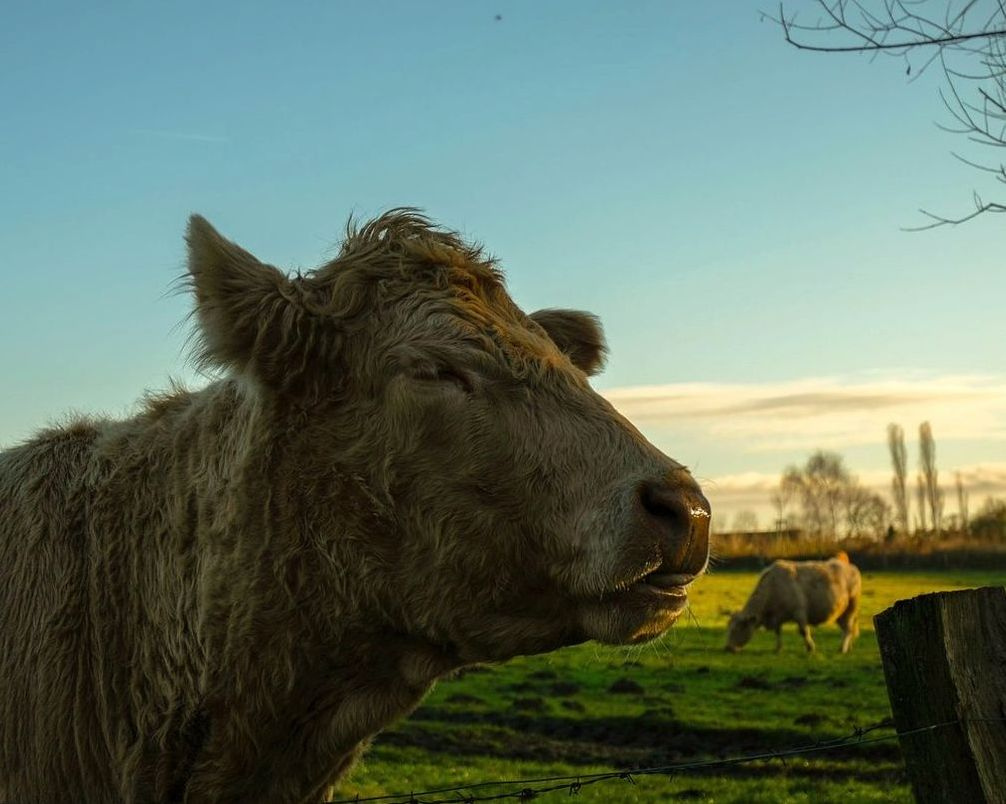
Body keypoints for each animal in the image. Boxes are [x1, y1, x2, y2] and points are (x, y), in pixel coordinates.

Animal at [724, 554, 861, 654]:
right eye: (728, 627)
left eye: (737, 628)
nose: (728, 648)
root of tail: (851, 567)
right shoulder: (777, 617)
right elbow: (778, 632)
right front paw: (778, 648)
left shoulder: (799, 612)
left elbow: (803, 631)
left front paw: (810, 648)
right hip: (841, 612)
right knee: (846, 628)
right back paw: (848, 647)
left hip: (851, 607)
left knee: (848, 629)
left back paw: (842, 649)